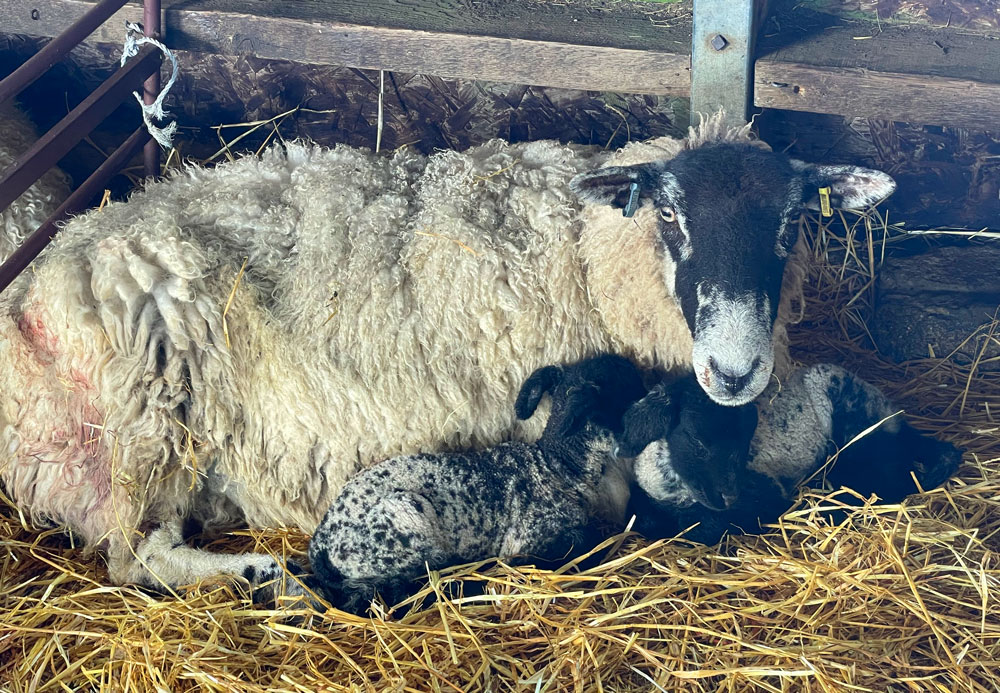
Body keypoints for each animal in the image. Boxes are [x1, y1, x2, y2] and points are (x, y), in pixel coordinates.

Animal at [308, 354, 644, 612]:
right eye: (629, 391)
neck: (557, 466)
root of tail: (320, 542)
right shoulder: (529, 536)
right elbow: (582, 542)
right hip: (406, 524)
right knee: (404, 590)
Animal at [616, 364, 960, 544]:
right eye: (697, 440)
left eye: (744, 445)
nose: (728, 495)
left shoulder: (766, 491)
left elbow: (715, 525)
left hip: (856, 436)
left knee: (888, 478)